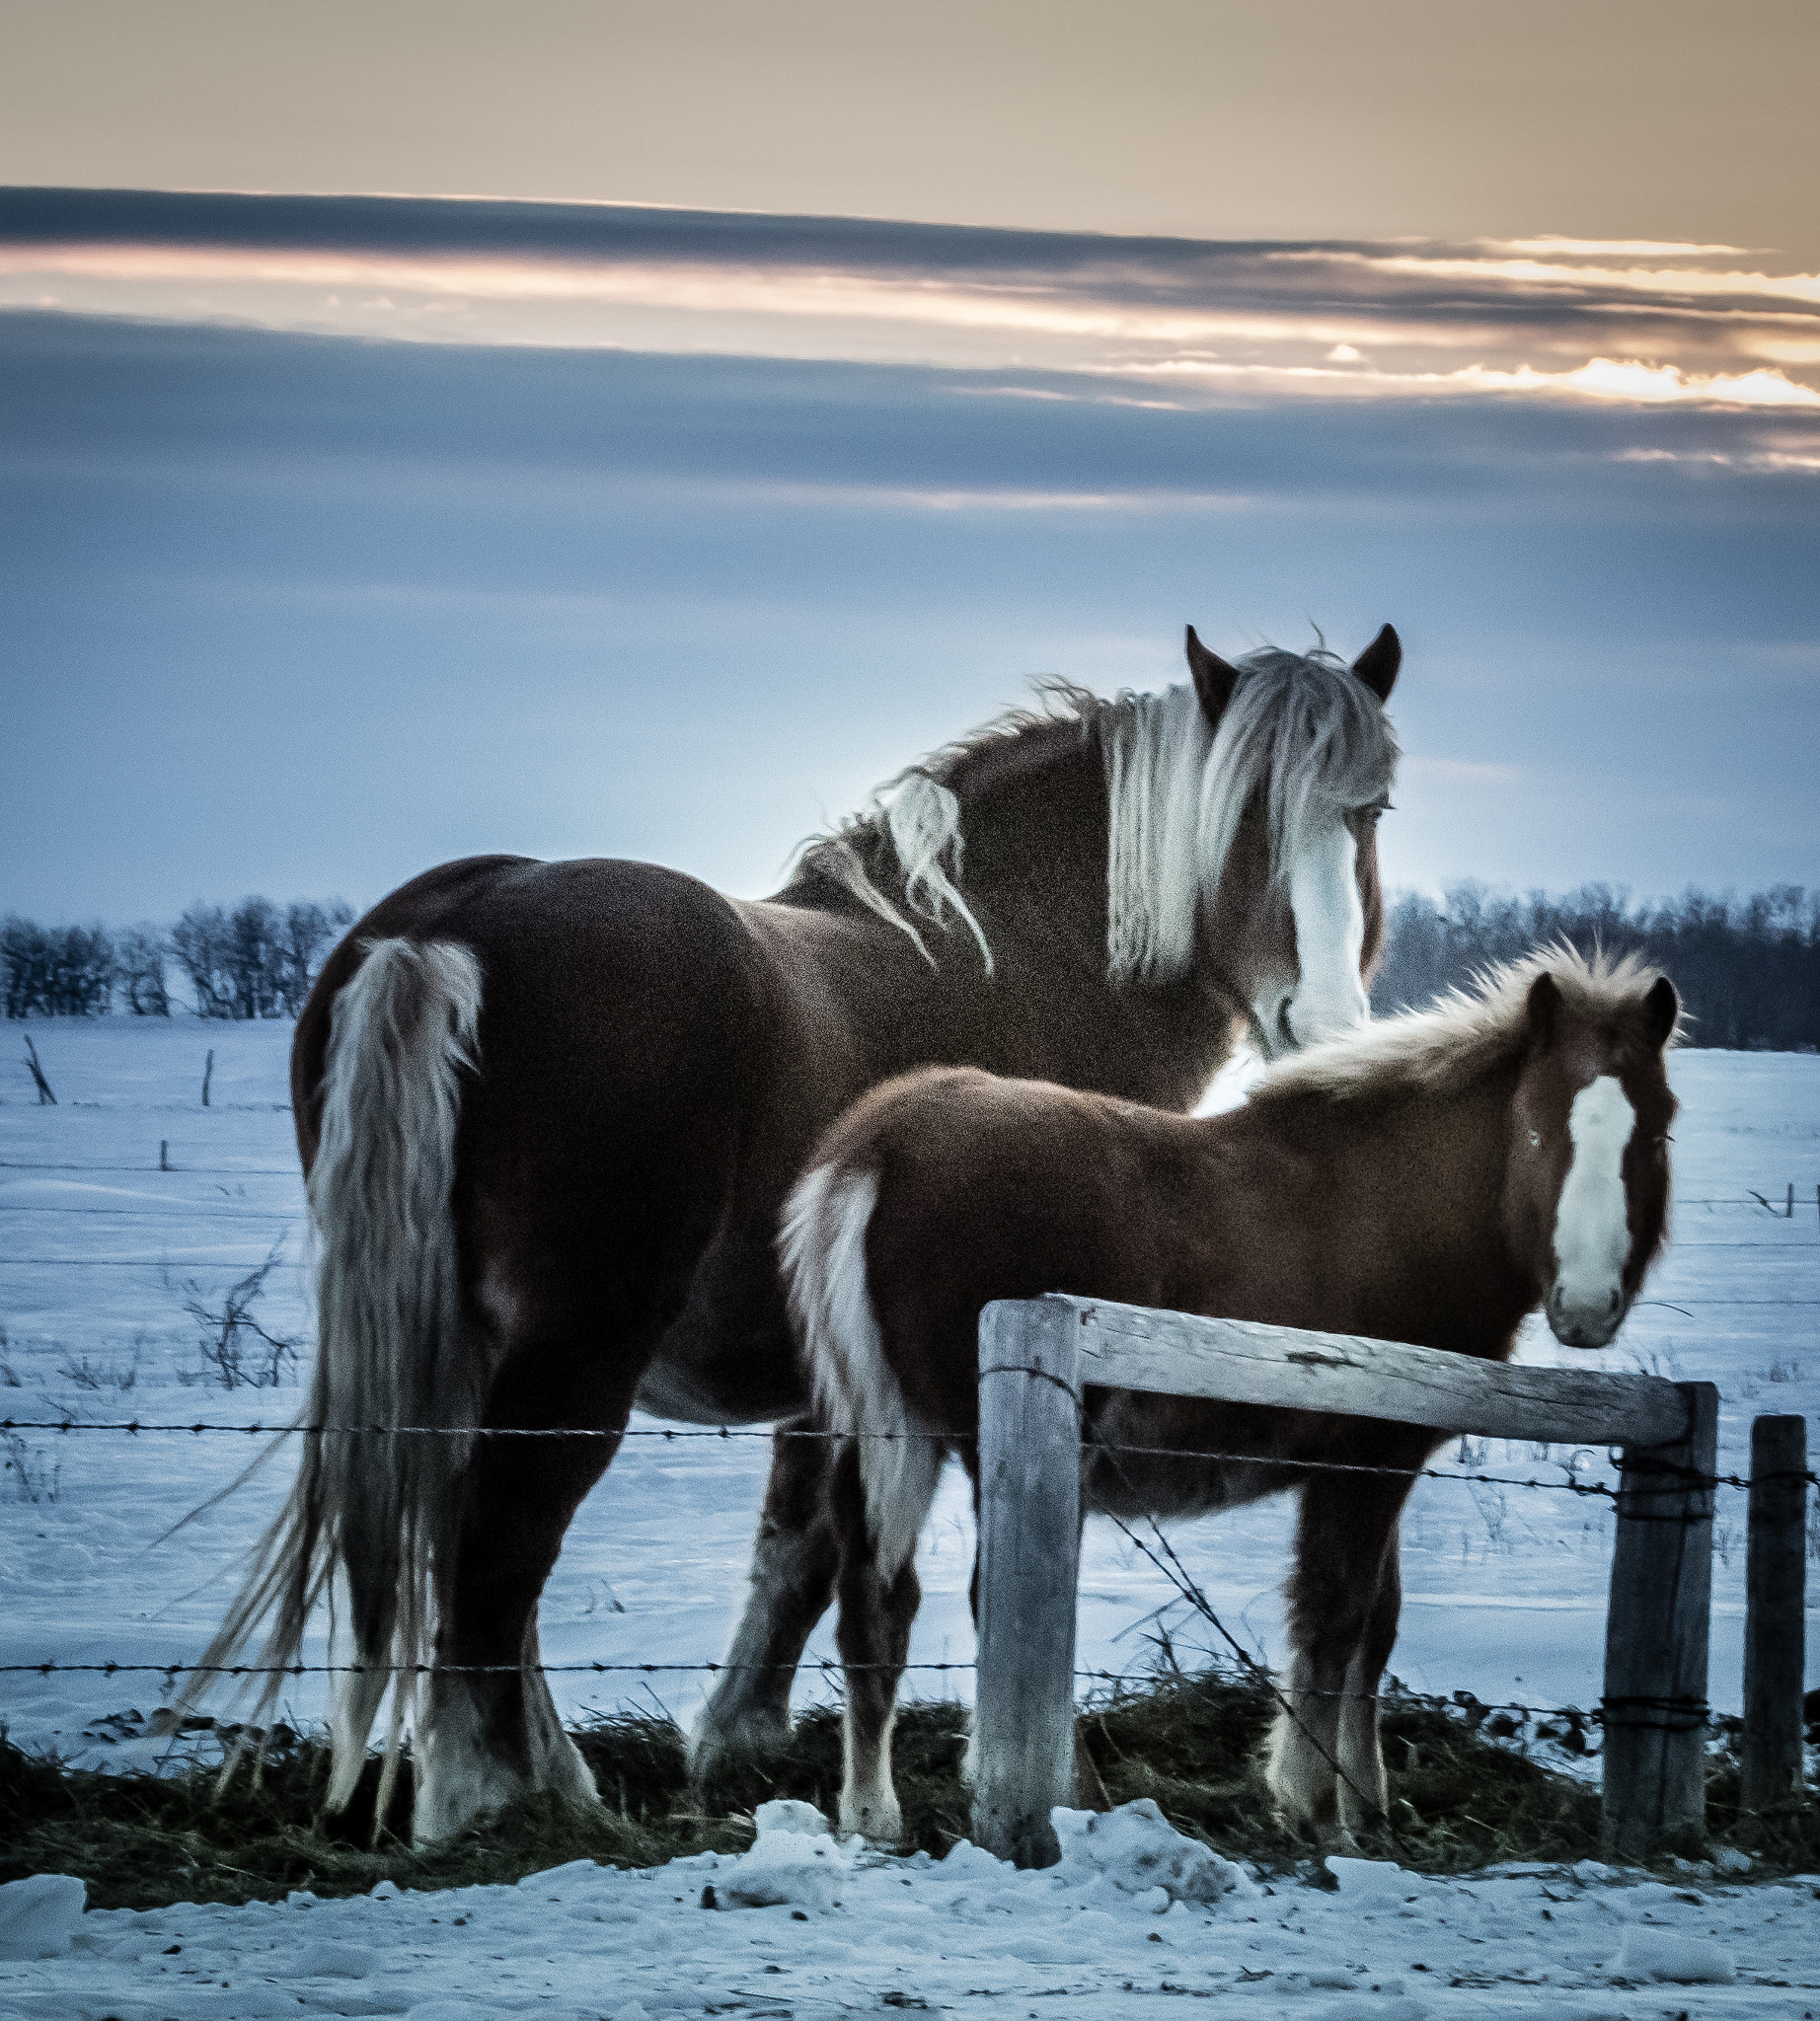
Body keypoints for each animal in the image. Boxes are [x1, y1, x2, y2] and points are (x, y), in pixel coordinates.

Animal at [187, 624, 1403, 1845]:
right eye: (1237, 807)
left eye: (1373, 807)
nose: (1320, 1022)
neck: (1024, 965)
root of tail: (444, 932)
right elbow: (866, 1556)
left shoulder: (834, 1370)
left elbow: (796, 1543)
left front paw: (734, 1736)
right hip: (578, 1342)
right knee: (500, 1541)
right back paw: (477, 1798)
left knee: (468, 1538)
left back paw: (550, 1777)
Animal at [782, 948, 1679, 1844]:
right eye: (1534, 1128)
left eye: (1659, 1128)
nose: (1586, 1307)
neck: (1394, 1206)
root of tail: (880, 1147)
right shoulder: (1366, 1457)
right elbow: (1335, 1617)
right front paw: (1316, 1808)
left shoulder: (1381, 1460)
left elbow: (1378, 1625)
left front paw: (1368, 1799)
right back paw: (1061, 1794)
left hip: (882, 1433)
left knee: (875, 1599)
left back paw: (871, 1811)